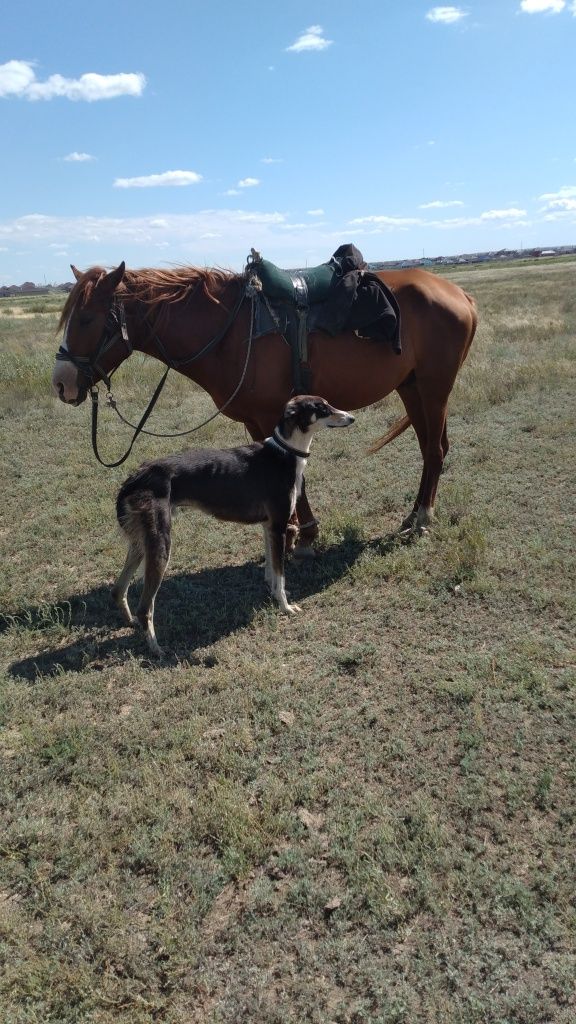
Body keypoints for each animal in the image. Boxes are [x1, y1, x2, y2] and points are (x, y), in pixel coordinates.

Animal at [52, 264, 475, 548]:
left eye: (86, 319)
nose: (61, 382)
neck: (231, 333)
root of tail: (459, 293)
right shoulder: (258, 422)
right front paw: (297, 530)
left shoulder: (273, 413)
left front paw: (302, 534)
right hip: (412, 387)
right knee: (432, 447)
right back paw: (415, 513)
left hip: (434, 388)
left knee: (435, 450)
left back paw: (423, 518)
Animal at [110, 395, 352, 651]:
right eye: (322, 408)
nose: (352, 418)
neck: (284, 453)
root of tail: (135, 477)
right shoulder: (279, 527)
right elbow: (280, 574)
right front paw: (286, 607)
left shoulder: (268, 527)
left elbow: (271, 571)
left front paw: (273, 595)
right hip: (160, 545)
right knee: (145, 607)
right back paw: (156, 649)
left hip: (141, 544)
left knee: (118, 590)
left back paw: (131, 623)